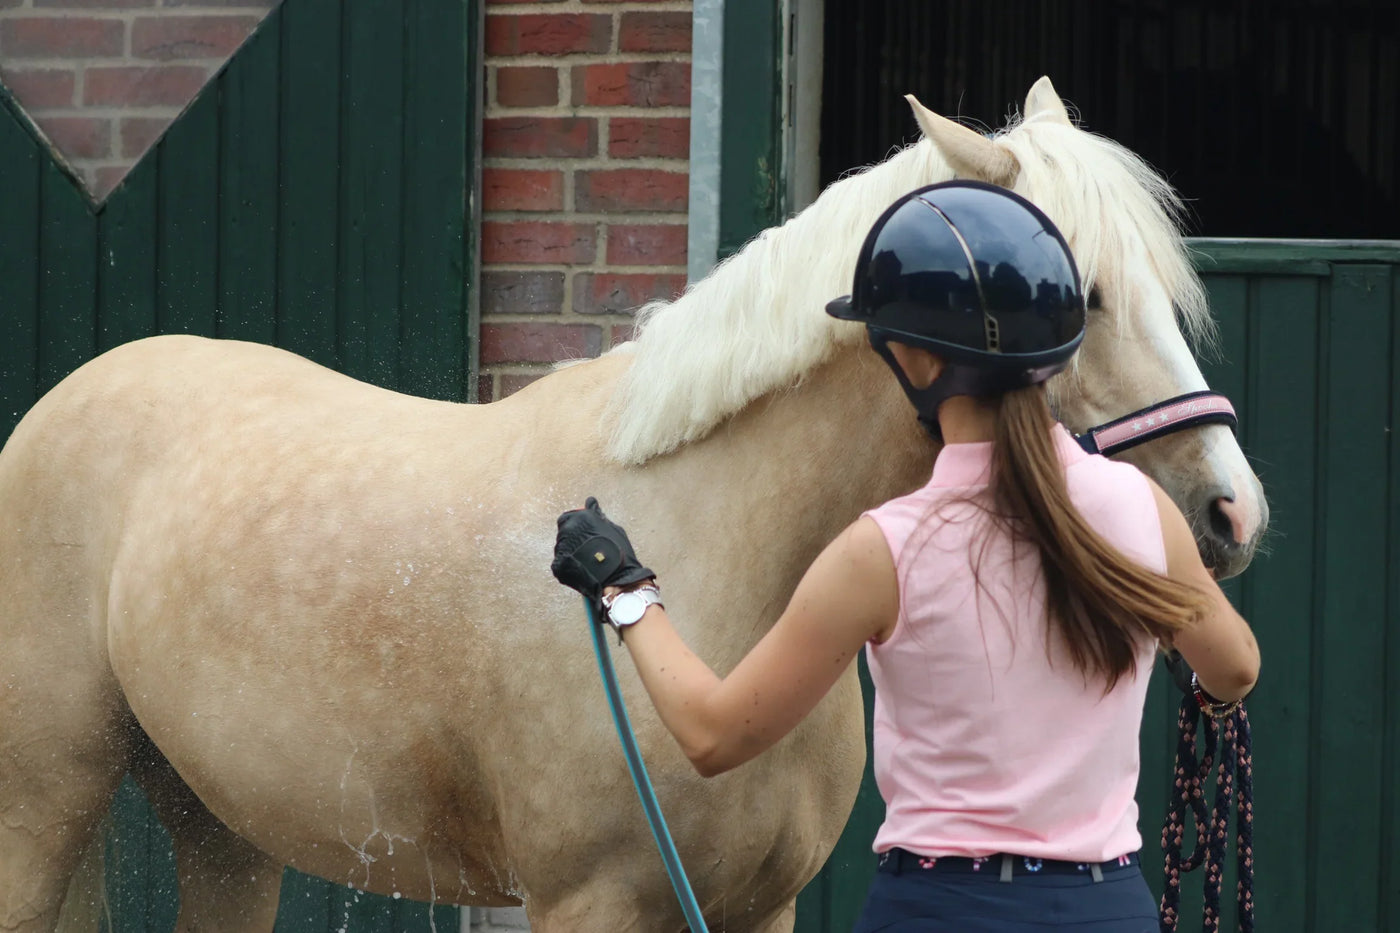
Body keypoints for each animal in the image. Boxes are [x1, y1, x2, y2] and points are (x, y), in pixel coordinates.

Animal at [0, 77, 1267, 933]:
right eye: (1074, 295)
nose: (1228, 515)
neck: (718, 559)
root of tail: (69, 401)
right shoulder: (587, 902)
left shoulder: (758, 907)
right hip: (44, 804)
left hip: (219, 826)